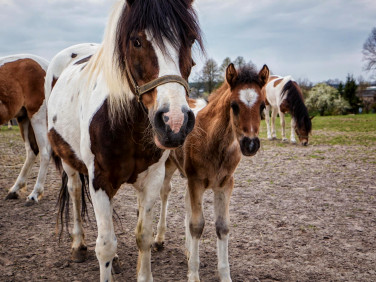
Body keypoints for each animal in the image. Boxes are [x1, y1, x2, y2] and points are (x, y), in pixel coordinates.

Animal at [0, 54, 51, 204]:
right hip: (24, 118)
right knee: (31, 151)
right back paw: (15, 189)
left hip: (37, 117)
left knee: (45, 152)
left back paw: (34, 194)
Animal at [46, 1, 204, 280]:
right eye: (136, 41)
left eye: (190, 38)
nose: (174, 122)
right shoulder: (99, 179)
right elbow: (105, 246)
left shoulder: (152, 178)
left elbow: (143, 237)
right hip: (68, 161)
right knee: (75, 191)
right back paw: (78, 245)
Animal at [154, 62, 268, 280]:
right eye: (234, 106)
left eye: (263, 106)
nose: (250, 144)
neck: (213, 141)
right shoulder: (196, 182)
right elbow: (197, 225)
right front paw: (193, 275)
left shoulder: (225, 184)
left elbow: (222, 226)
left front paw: (225, 275)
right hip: (168, 166)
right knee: (164, 193)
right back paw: (158, 239)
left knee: (186, 203)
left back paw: (188, 250)